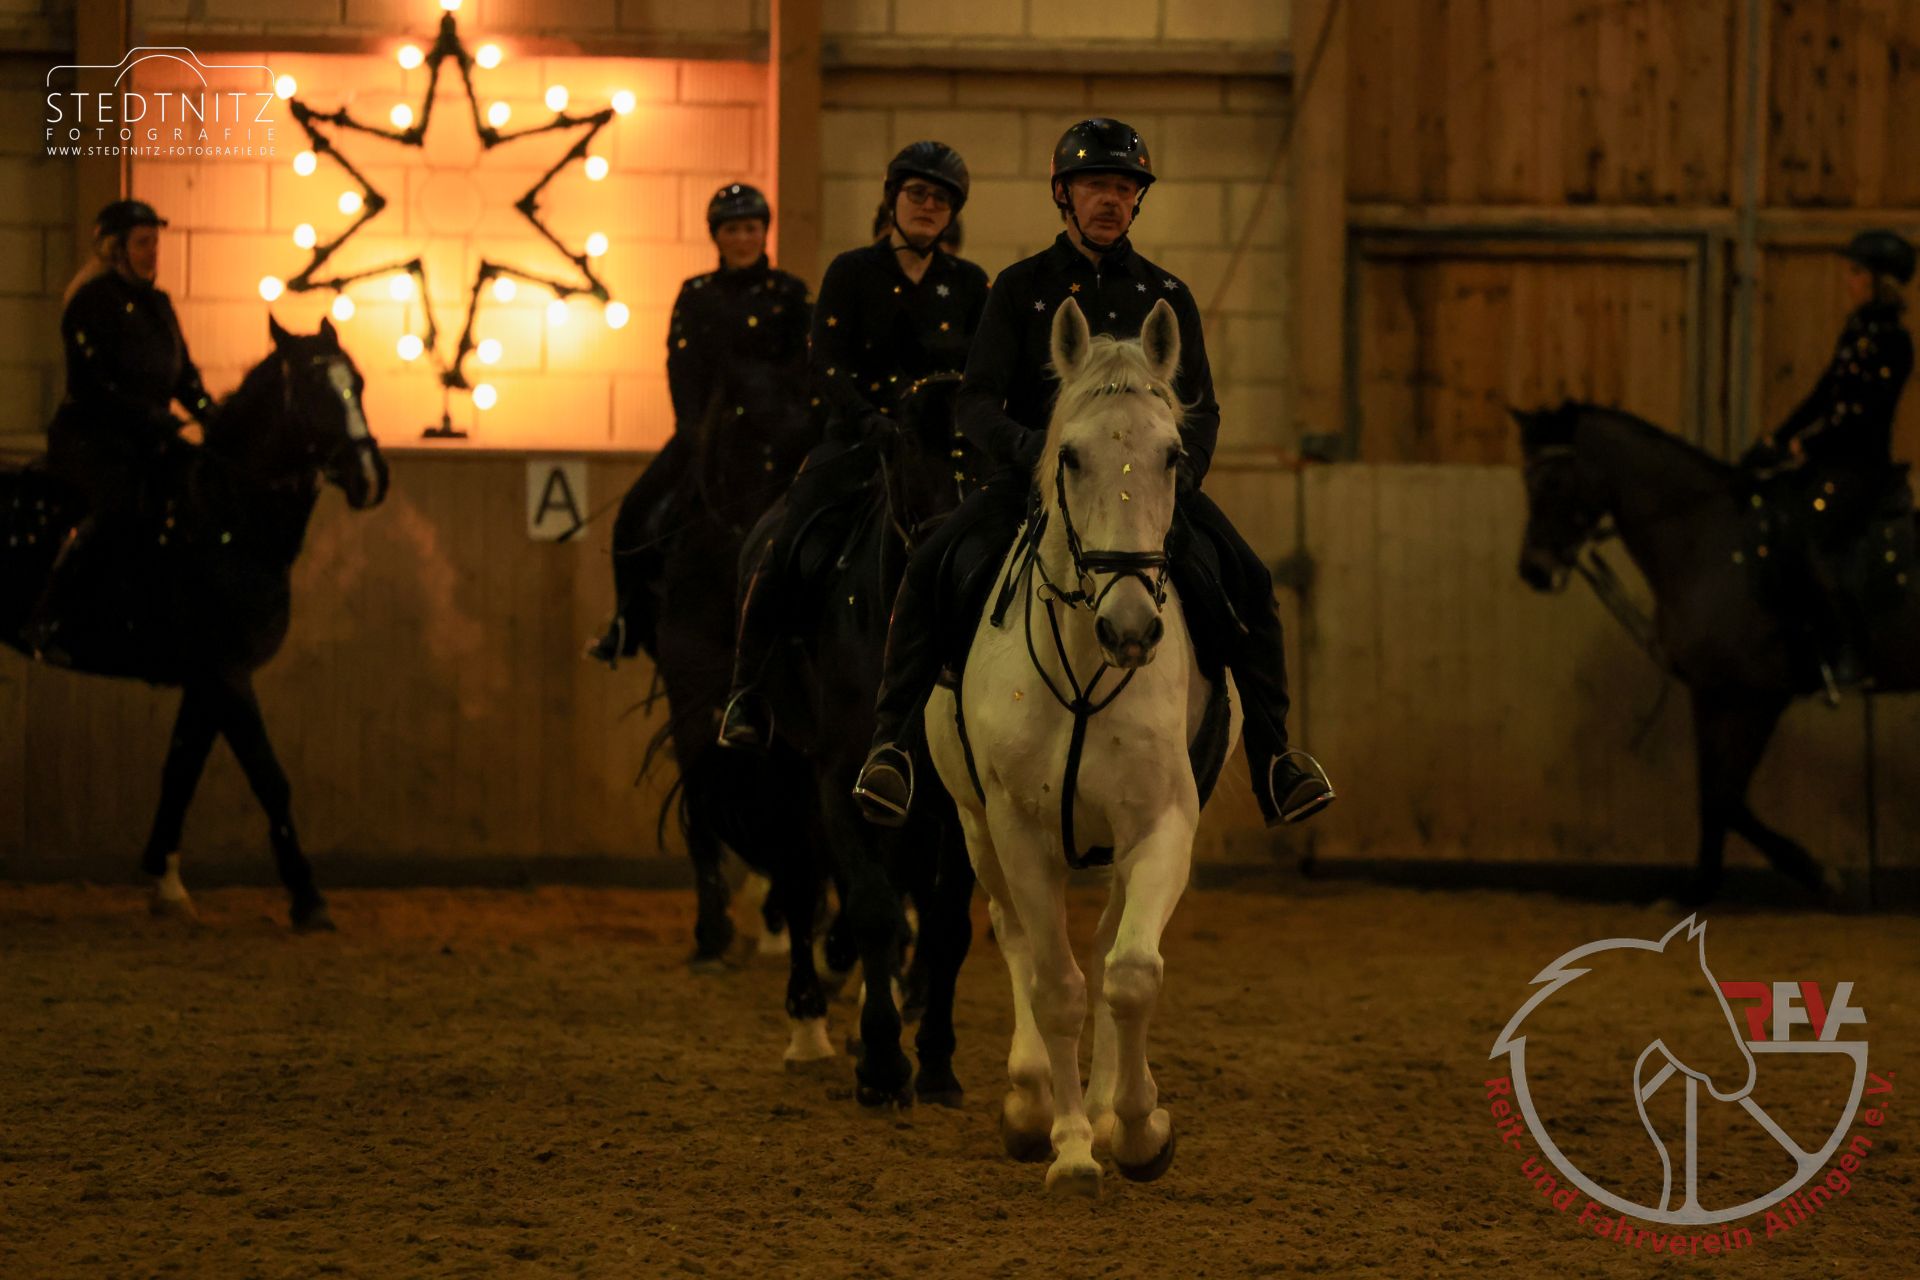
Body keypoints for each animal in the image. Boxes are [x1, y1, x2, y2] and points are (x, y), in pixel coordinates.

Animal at [0, 316, 389, 929]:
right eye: (310, 389)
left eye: (360, 384)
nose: (370, 479)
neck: (227, 515)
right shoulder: (228, 674)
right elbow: (269, 778)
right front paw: (308, 897)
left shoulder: (209, 679)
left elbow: (181, 770)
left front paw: (166, 882)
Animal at [755, 371, 980, 1107]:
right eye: (901, 454)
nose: (955, 570)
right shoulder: (838, 778)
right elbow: (875, 909)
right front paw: (882, 1065)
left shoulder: (955, 802)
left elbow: (946, 923)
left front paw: (935, 1061)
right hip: (785, 765)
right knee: (801, 882)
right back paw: (809, 1021)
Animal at [925, 298, 1242, 1195]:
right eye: (1068, 455)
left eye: (1172, 455)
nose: (1130, 629)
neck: (1085, 664)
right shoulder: (1018, 832)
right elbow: (1055, 985)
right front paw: (1068, 1145)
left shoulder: (1161, 825)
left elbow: (1129, 974)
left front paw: (1136, 1128)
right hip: (976, 829)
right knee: (1019, 943)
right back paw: (1034, 1100)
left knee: (1103, 949)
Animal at [1513, 401, 1919, 906]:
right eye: (1527, 479)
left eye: (1552, 481)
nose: (1533, 570)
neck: (1710, 544)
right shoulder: (1711, 692)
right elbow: (1712, 793)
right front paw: (1697, 890)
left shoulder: (1761, 695)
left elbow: (1727, 796)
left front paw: (1822, 875)